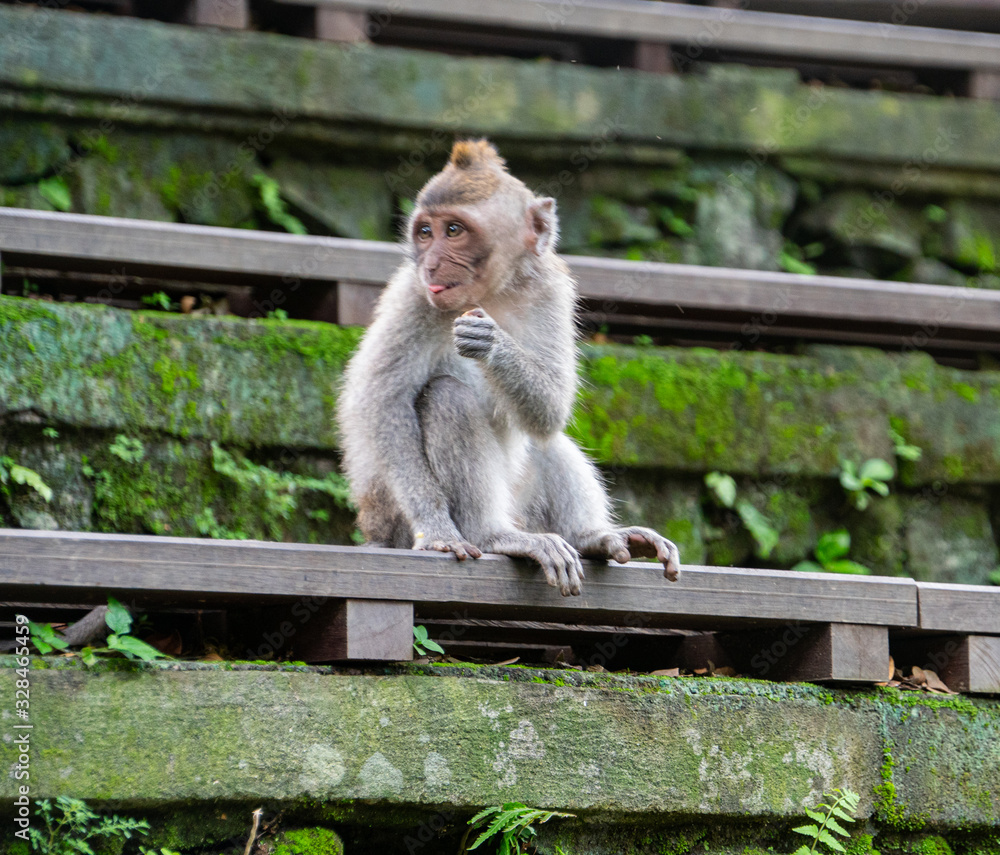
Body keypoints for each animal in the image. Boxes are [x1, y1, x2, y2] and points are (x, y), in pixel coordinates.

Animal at [337, 139, 680, 596]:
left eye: (454, 231)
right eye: (425, 233)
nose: (431, 264)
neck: (493, 293)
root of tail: (373, 530)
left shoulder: (551, 287)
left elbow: (551, 408)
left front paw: (495, 344)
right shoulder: (413, 297)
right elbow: (383, 403)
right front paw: (437, 531)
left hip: (523, 502)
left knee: (543, 437)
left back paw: (595, 537)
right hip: (394, 520)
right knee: (447, 397)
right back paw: (492, 535)